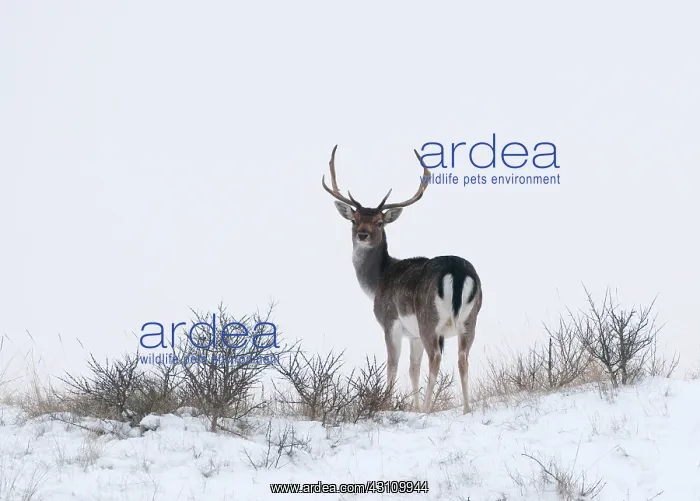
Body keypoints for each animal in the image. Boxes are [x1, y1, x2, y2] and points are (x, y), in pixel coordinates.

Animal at [322, 145, 483, 414]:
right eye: (354, 219)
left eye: (379, 222)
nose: (362, 234)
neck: (377, 281)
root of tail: (457, 271)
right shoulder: (414, 334)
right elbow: (413, 368)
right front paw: (413, 408)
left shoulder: (390, 322)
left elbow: (393, 365)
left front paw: (388, 405)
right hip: (471, 320)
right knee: (463, 358)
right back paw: (466, 409)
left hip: (429, 319)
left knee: (436, 357)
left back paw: (428, 409)